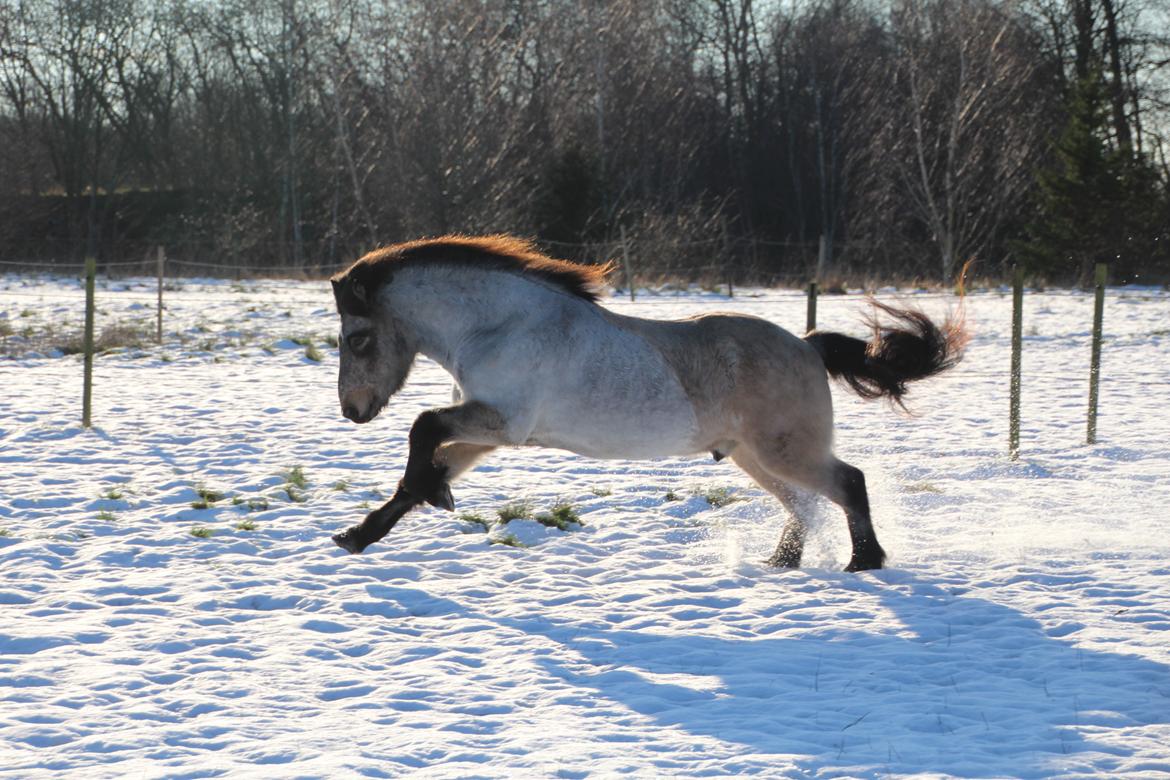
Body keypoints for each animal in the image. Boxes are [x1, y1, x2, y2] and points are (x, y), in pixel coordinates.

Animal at [325, 235, 964, 570]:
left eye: (356, 338)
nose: (353, 409)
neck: (498, 325)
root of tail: (807, 345)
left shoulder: (502, 424)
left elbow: (421, 428)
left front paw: (431, 495)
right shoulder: (485, 435)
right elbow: (420, 467)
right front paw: (359, 535)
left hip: (784, 452)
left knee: (848, 483)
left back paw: (865, 561)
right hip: (752, 457)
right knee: (805, 505)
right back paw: (779, 564)